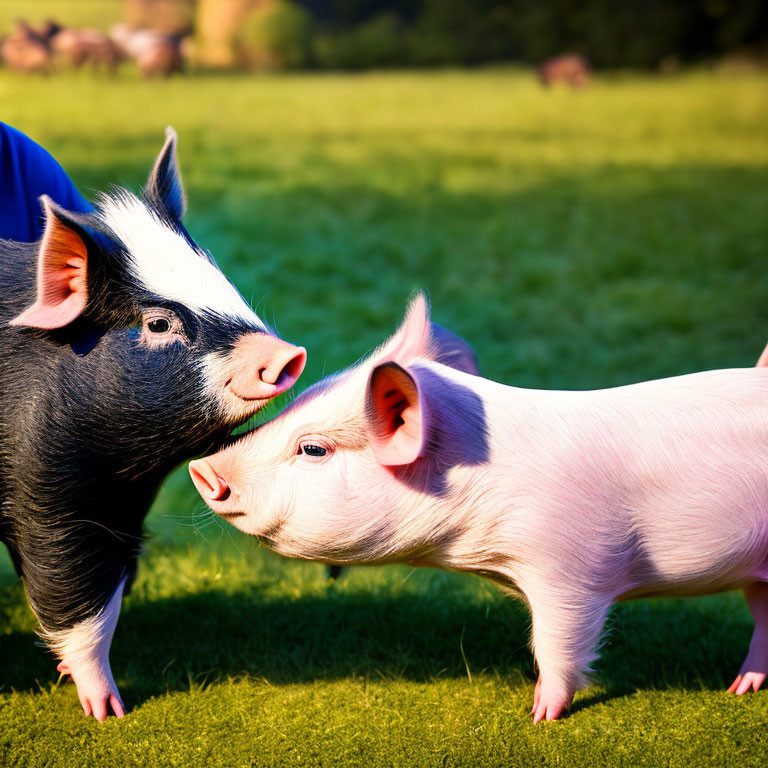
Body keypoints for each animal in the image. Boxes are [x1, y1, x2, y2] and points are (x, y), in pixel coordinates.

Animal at [0, 129, 306, 724]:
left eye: (222, 280)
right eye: (159, 323)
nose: (288, 353)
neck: (121, 466)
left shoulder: (123, 503)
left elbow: (112, 587)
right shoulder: (45, 488)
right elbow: (70, 592)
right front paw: (108, 712)